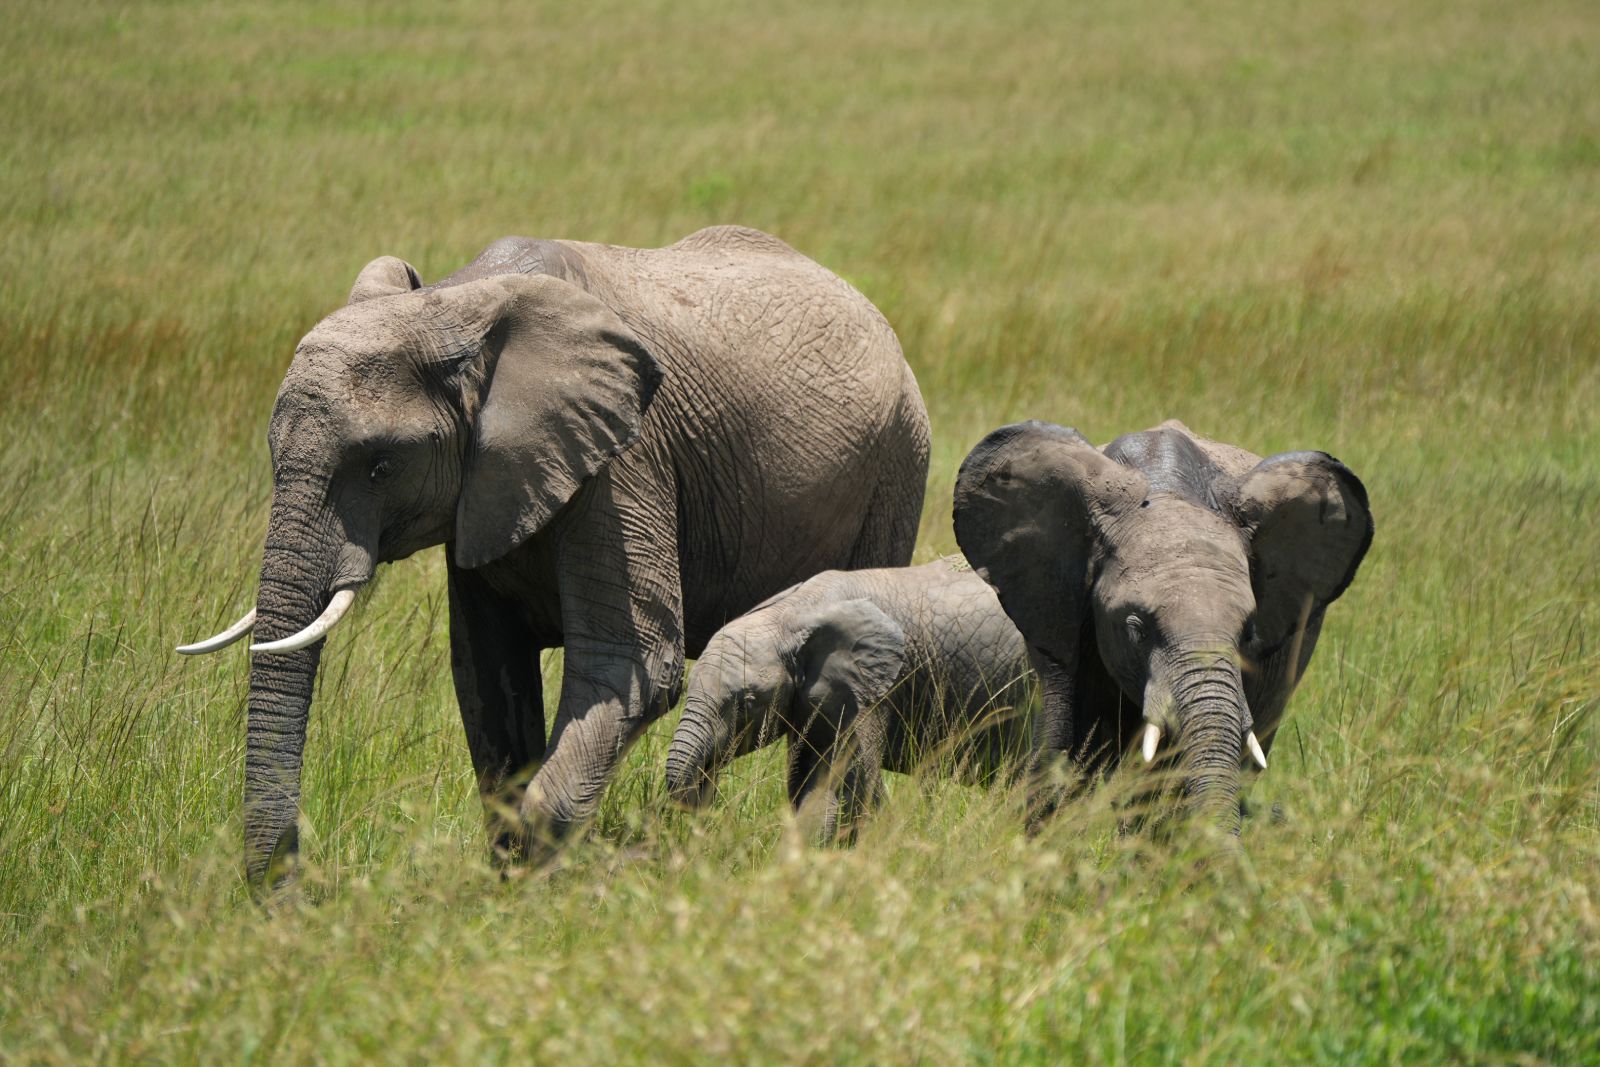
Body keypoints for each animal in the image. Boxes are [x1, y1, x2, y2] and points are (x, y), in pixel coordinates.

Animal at [178, 225, 930, 883]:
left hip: (898, 461)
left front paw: (539, 885)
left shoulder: (627, 458)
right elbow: (488, 675)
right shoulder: (485, 490)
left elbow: (629, 666)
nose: (292, 890)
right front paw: (509, 885)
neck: (456, 306)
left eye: (380, 466)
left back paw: (837, 847)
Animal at [665, 556, 1034, 842]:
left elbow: (839, 784)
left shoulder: (873, 691)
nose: (707, 785)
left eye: (747, 702)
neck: (793, 612)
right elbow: (807, 781)